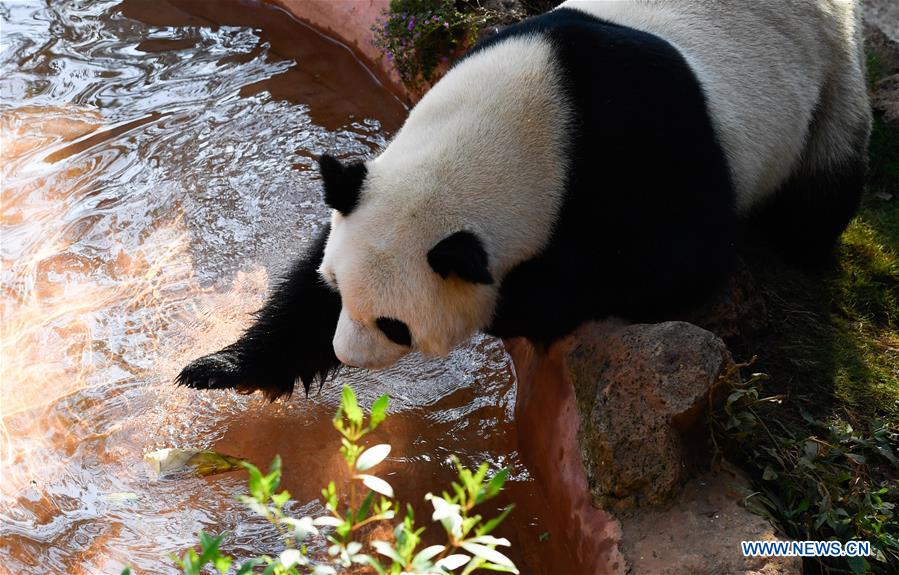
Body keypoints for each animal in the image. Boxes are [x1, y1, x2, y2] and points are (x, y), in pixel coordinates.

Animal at [177, 0, 871, 399]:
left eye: (394, 324)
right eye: (338, 291)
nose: (346, 352)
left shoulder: (653, 150)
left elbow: (673, 261)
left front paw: (516, 303)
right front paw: (220, 368)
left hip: (828, 75)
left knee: (824, 181)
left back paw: (802, 243)